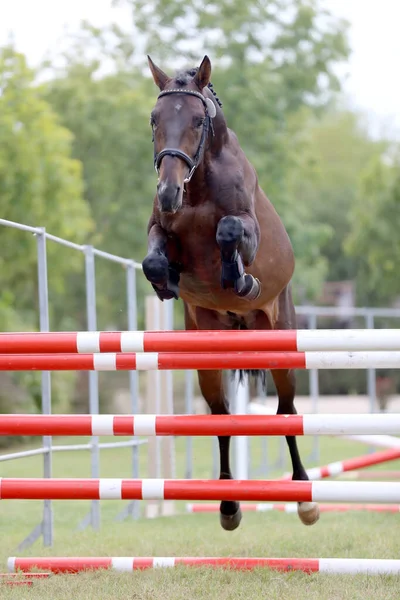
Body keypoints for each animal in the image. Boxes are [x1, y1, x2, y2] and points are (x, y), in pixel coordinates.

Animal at [142, 56, 320, 532]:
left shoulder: (245, 227)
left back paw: (305, 498)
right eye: (155, 119)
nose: (168, 193)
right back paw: (228, 504)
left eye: (197, 120)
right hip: (207, 353)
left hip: (280, 345)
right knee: (220, 418)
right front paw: (166, 282)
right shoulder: (160, 229)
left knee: (286, 413)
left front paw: (241, 280)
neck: (199, 185)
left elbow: (229, 230)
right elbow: (154, 257)